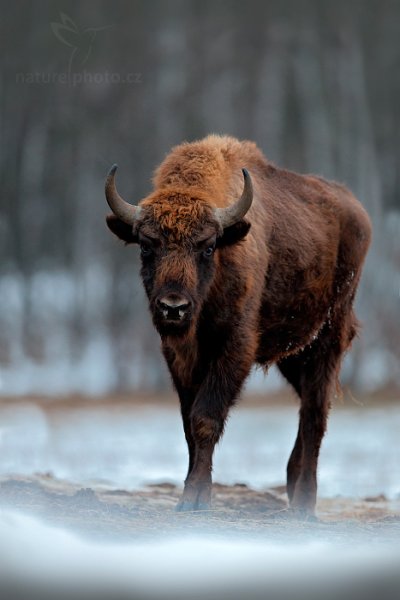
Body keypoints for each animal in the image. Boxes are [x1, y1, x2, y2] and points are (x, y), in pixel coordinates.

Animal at [105, 136, 372, 516]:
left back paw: (304, 504)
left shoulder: (234, 349)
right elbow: (188, 424)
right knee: (306, 407)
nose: (173, 307)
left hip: (329, 339)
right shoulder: (179, 358)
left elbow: (205, 418)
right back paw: (292, 484)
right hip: (295, 354)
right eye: (146, 246)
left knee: (315, 414)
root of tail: (357, 212)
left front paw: (194, 499)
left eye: (207, 247)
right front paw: (192, 495)